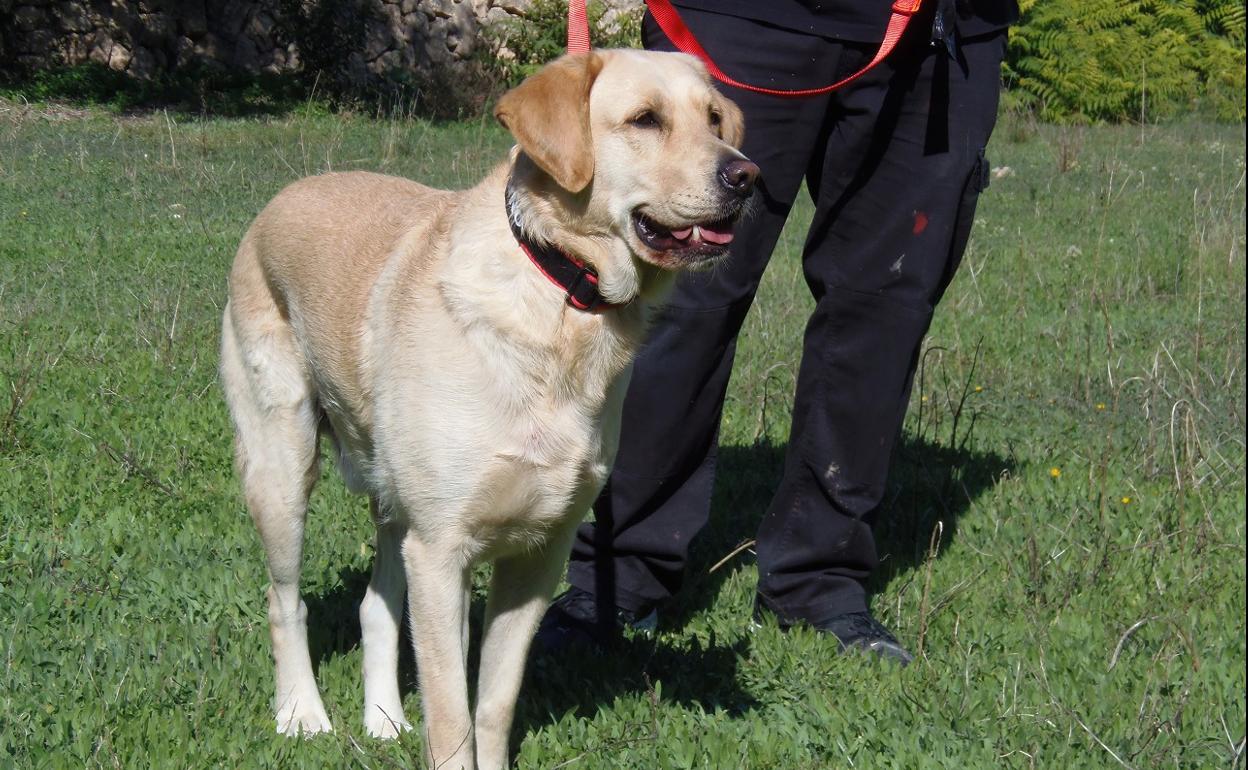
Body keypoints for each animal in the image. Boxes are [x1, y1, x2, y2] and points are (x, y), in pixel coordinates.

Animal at [219, 51, 753, 763]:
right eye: (645, 119)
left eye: (715, 118)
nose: (746, 176)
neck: (560, 295)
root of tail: (285, 195)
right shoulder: (442, 552)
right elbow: (451, 717)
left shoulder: (537, 557)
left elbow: (493, 704)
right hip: (282, 471)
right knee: (285, 603)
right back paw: (302, 714)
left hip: (394, 501)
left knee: (376, 606)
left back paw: (383, 720)